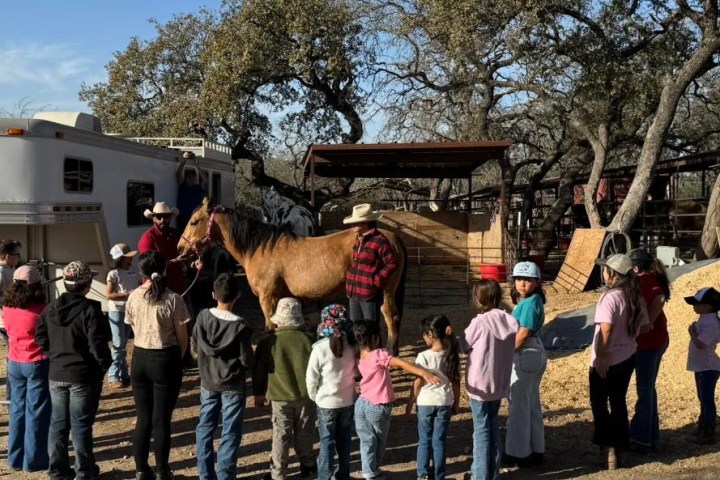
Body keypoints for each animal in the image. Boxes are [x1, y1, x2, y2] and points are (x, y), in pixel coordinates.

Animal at [177, 199, 408, 354]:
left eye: (194, 221)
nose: (180, 248)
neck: (261, 249)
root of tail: (392, 236)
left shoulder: (267, 298)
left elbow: (270, 327)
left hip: (386, 292)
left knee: (390, 317)